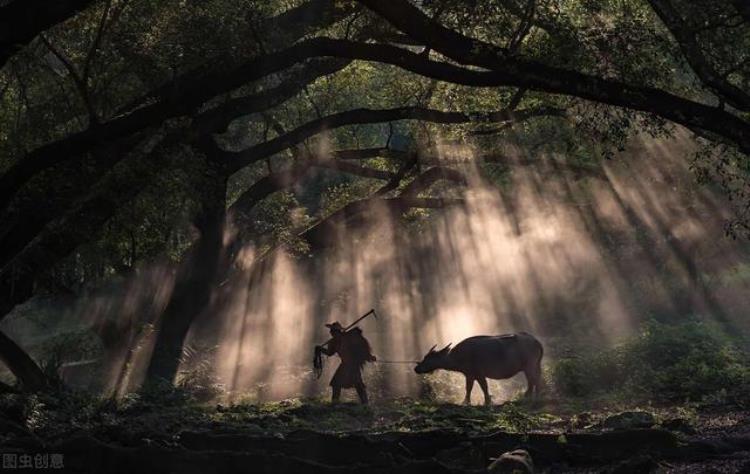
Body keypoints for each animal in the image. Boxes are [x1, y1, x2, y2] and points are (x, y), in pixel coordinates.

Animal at [414, 332, 544, 406]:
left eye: (429, 357)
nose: (416, 368)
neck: (459, 356)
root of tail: (536, 341)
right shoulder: (469, 375)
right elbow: (468, 388)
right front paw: (466, 402)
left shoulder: (479, 374)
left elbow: (484, 387)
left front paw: (487, 402)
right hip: (530, 367)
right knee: (532, 381)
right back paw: (528, 397)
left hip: (530, 366)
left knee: (535, 380)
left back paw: (536, 397)